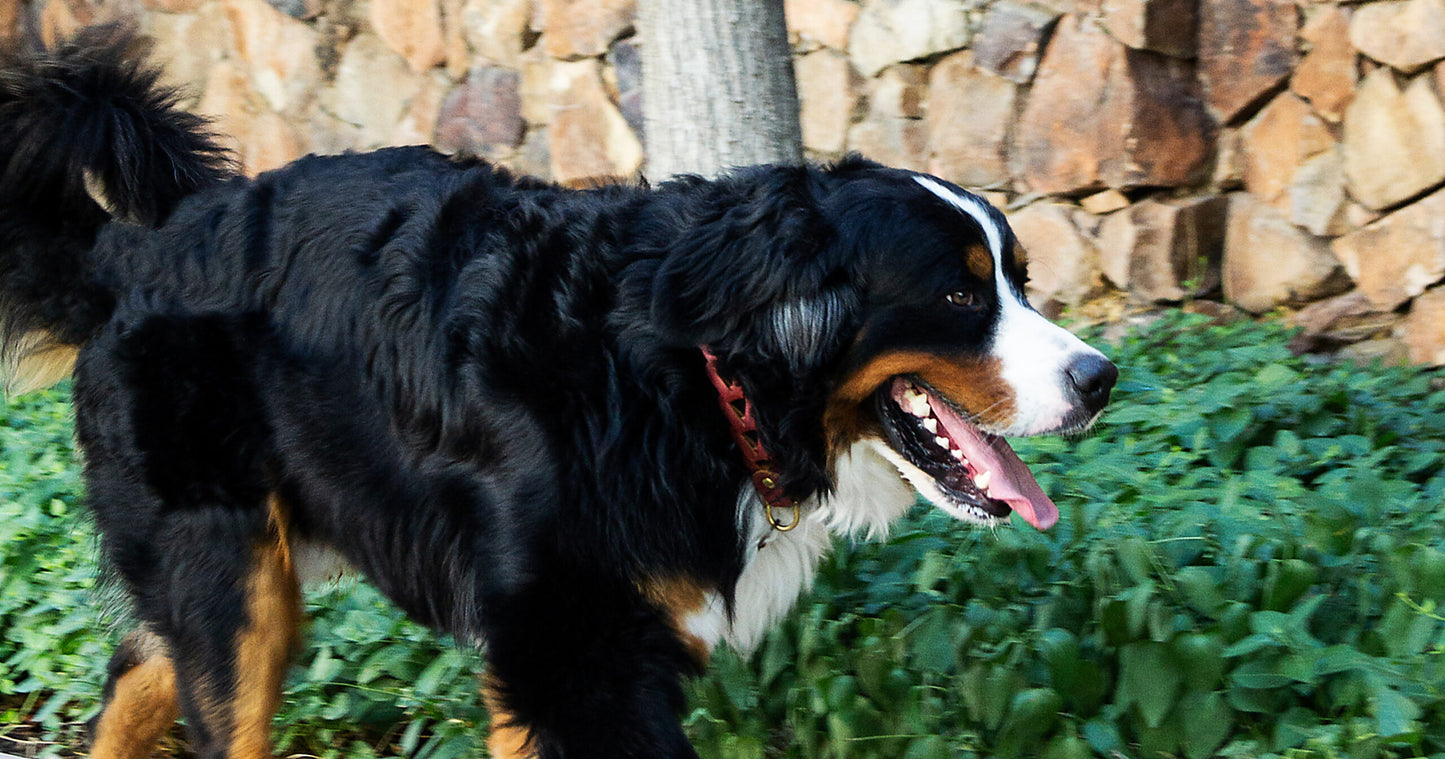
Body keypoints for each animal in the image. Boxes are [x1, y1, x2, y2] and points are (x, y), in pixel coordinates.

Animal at [0, 23, 1115, 757]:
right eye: (956, 293)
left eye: (1018, 278)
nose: (1099, 378)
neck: (699, 382)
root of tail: (129, 251)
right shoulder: (573, 651)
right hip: (228, 579)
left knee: (130, 683)